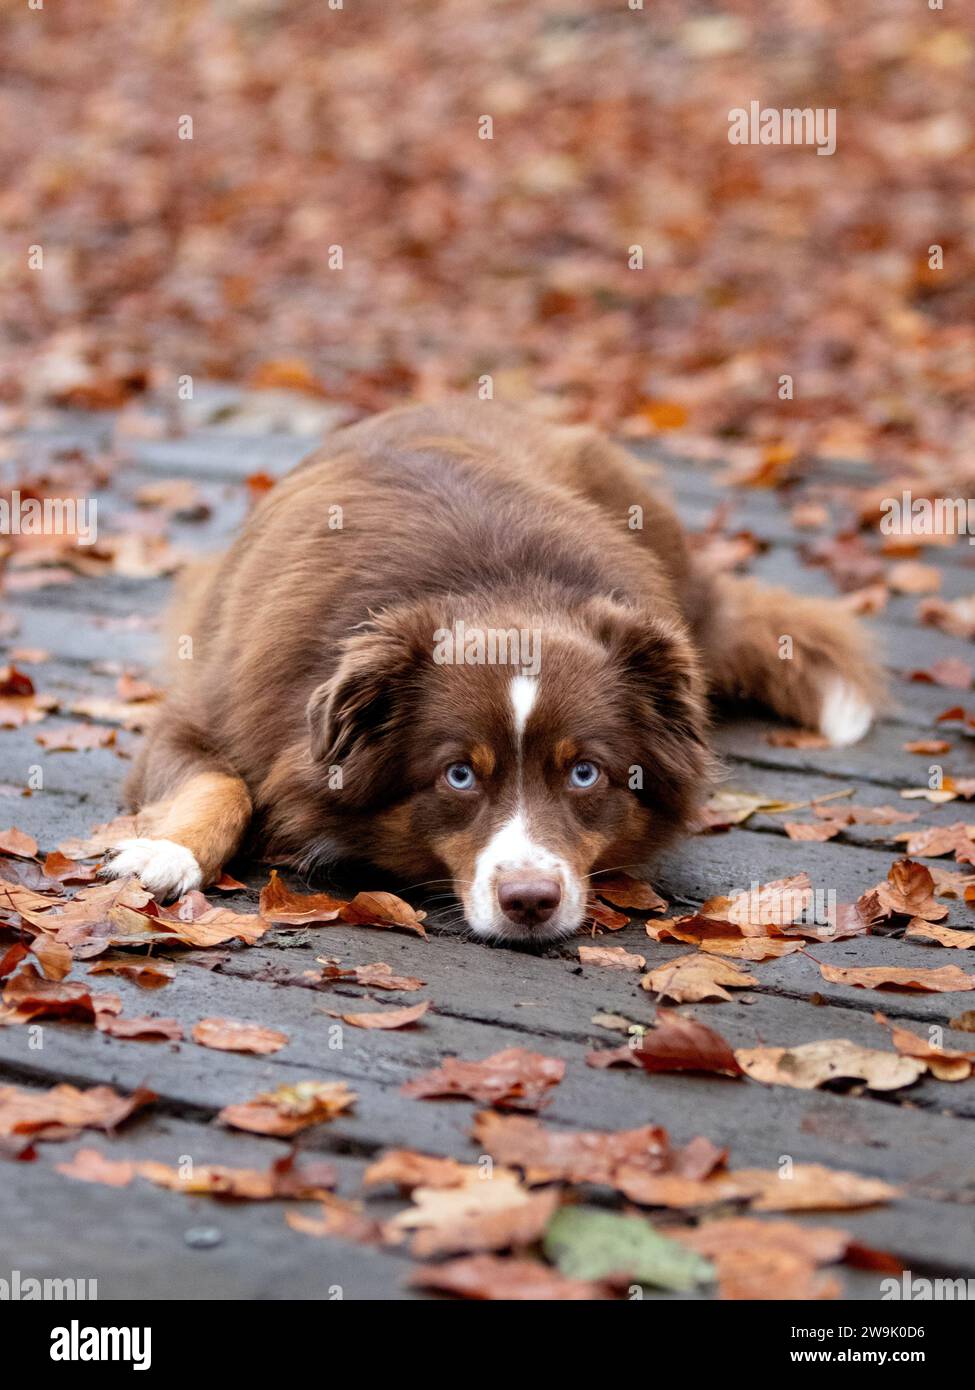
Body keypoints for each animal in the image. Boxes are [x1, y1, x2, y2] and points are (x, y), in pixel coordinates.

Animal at [108, 405, 884, 945]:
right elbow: (223, 782)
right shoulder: (222, 704)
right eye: (458, 775)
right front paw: (164, 853)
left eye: (585, 773)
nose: (531, 903)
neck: (493, 591)